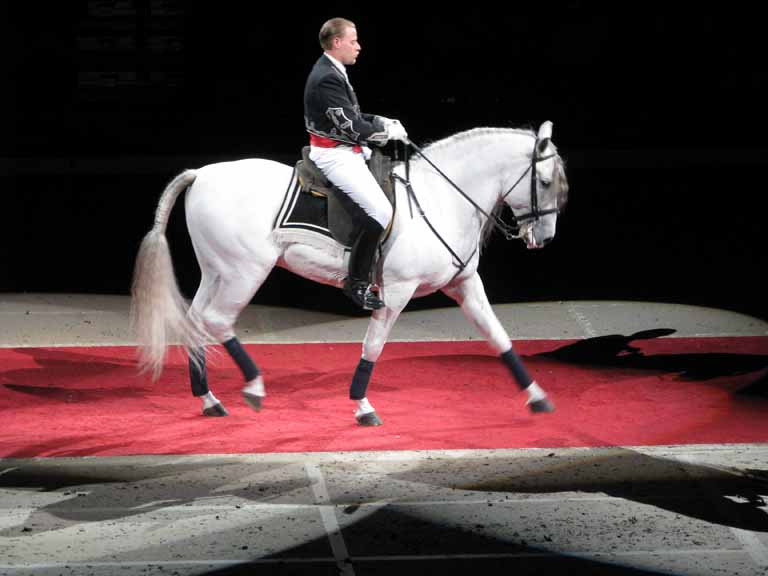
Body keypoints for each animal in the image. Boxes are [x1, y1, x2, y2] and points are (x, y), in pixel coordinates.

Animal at [132, 121, 568, 426]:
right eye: (545, 182)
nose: (544, 239)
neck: (441, 198)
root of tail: (202, 173)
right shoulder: (396, 291)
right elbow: (372, 346)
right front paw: (362, 406)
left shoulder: (465, 284)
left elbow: (498, 336)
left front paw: (537, 396)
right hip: (245, 271)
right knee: (217, 320)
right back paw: (253, 387)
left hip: (216, 270)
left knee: (195, 321)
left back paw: (209, 399)